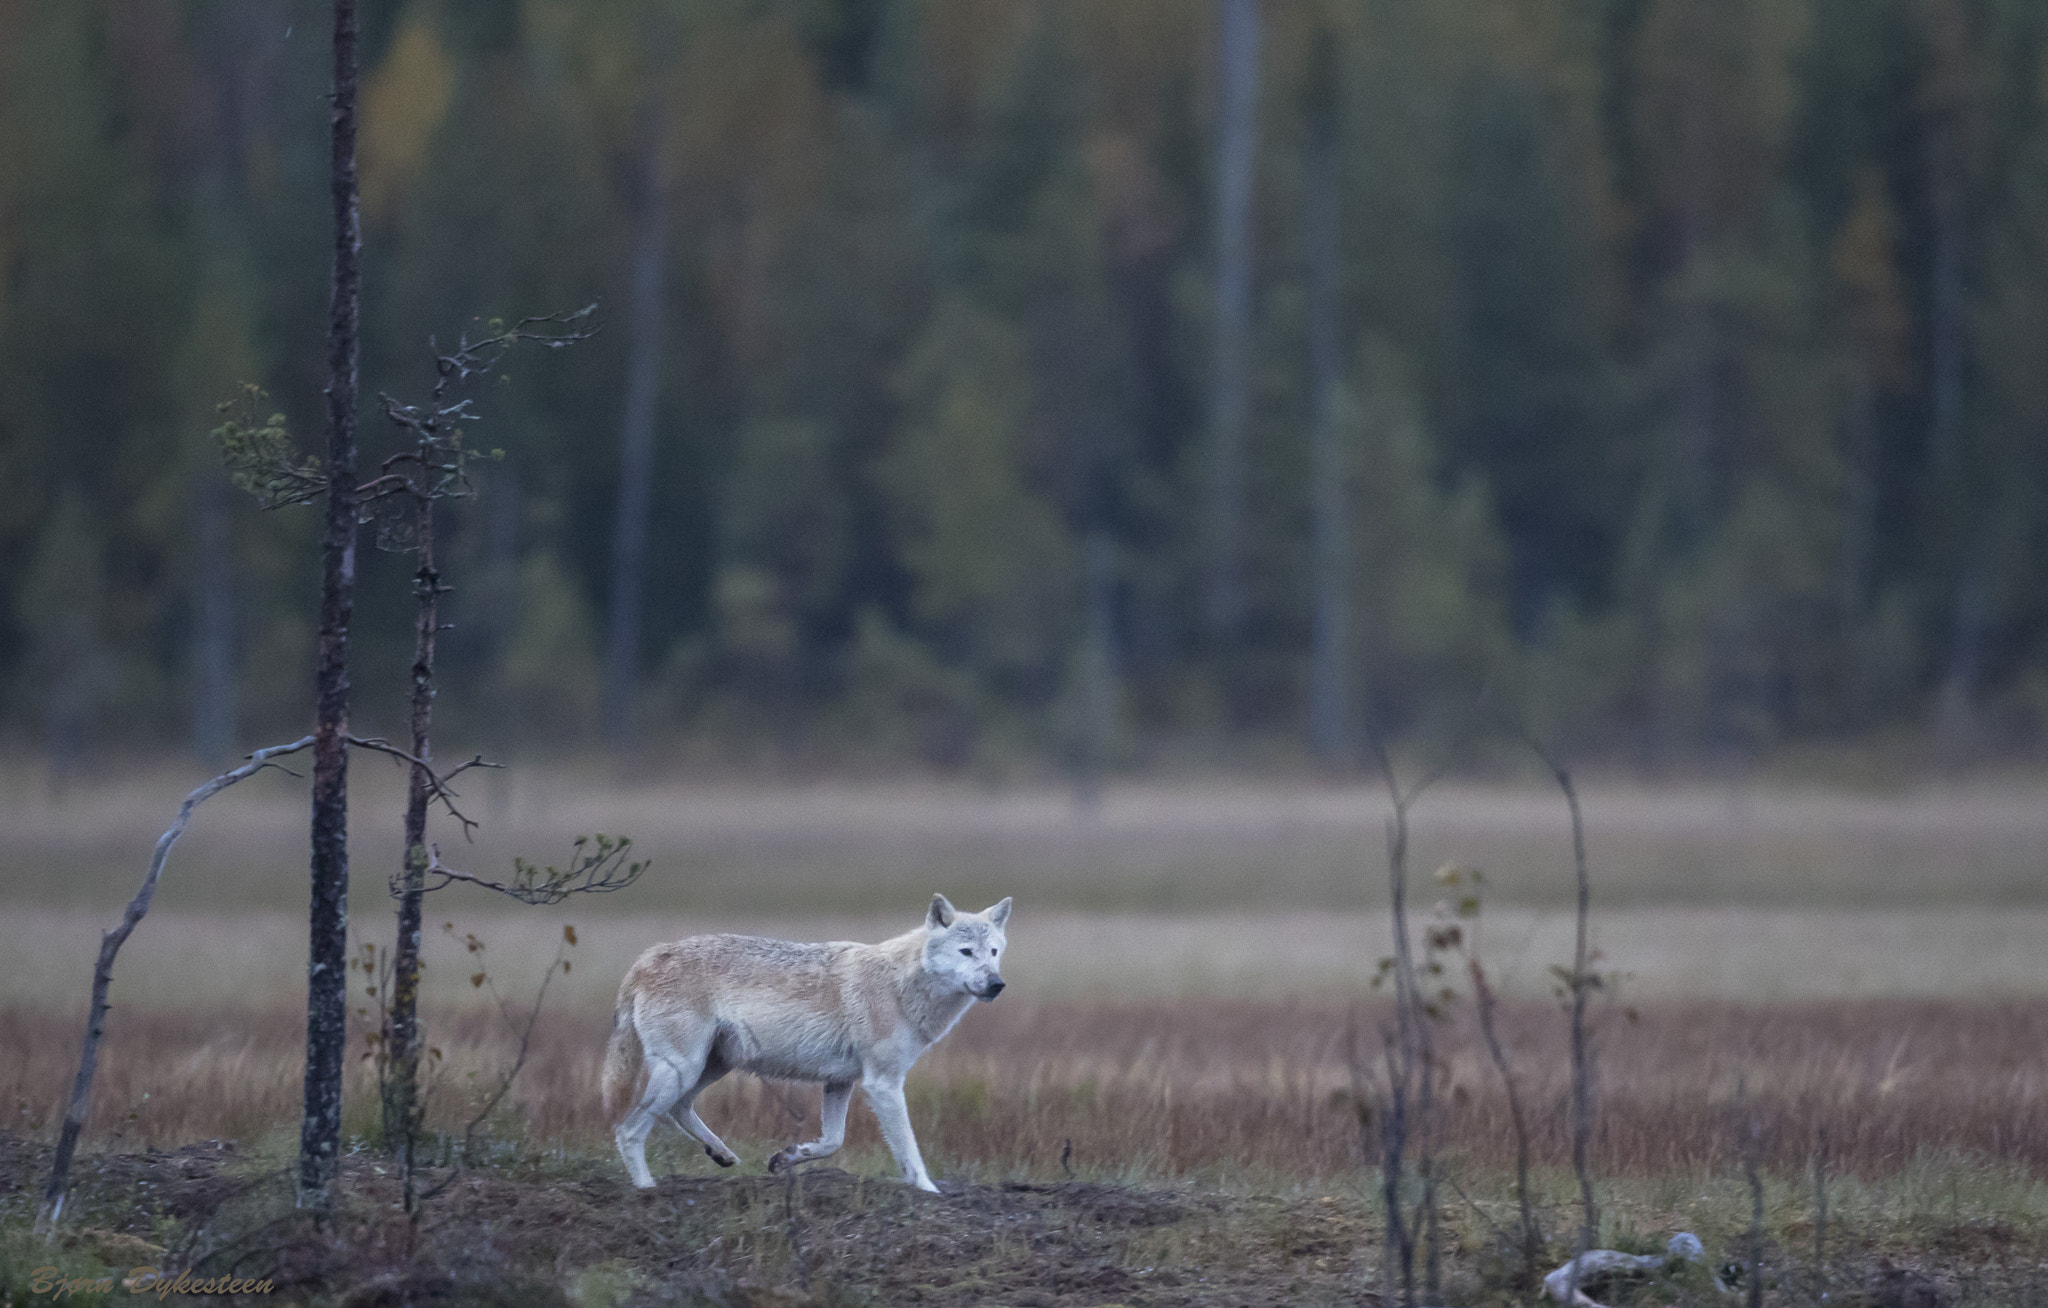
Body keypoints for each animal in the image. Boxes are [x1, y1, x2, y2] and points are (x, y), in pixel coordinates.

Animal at [602, 893, 1011, 1193]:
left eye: (993, 952)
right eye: (966, 952)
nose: (996, 984)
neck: (903, 986)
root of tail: (648, 956)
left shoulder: (841, 1081)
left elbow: (832, 1141)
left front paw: (787, 1158)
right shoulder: (883, 1084)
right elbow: (909, 1152)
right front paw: (929, 1192)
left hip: (709, 1068)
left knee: (678, 1108)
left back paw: (721, 1154)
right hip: (682, 1070)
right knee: (628, 1130)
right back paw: (646, 1188)